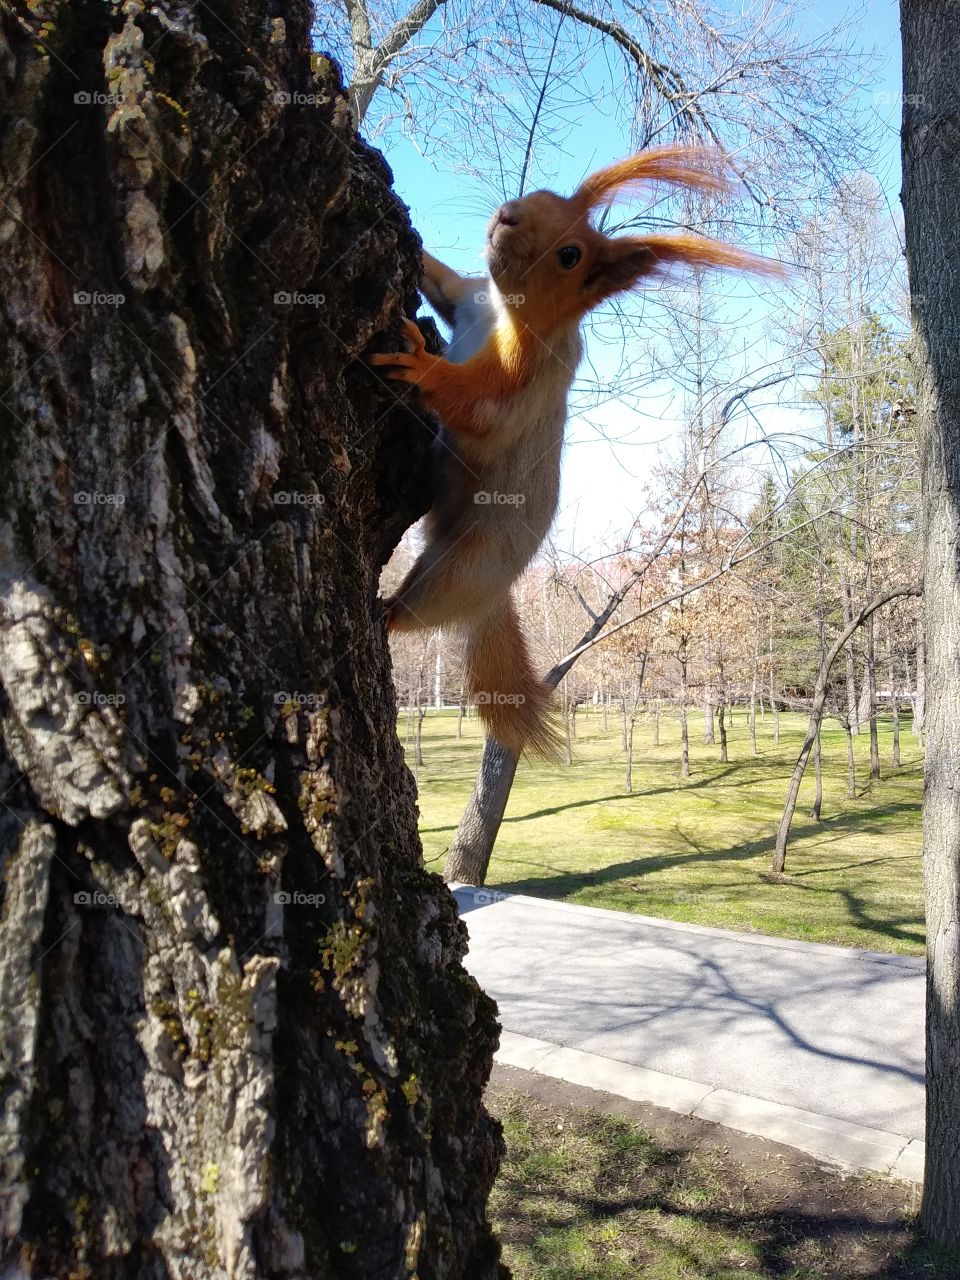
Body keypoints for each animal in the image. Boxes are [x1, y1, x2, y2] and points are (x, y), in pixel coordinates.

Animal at [372, 145, 782, 759]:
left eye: (570, 256)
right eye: (545, 195)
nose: (507, 216)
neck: (503, 311)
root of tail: (495, 594)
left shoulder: (525, 376)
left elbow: (477, 405)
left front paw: (420, 364)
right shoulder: (465, 298)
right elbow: (441, 283)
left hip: (464, 567)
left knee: (425, 607)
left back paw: (387, 611)